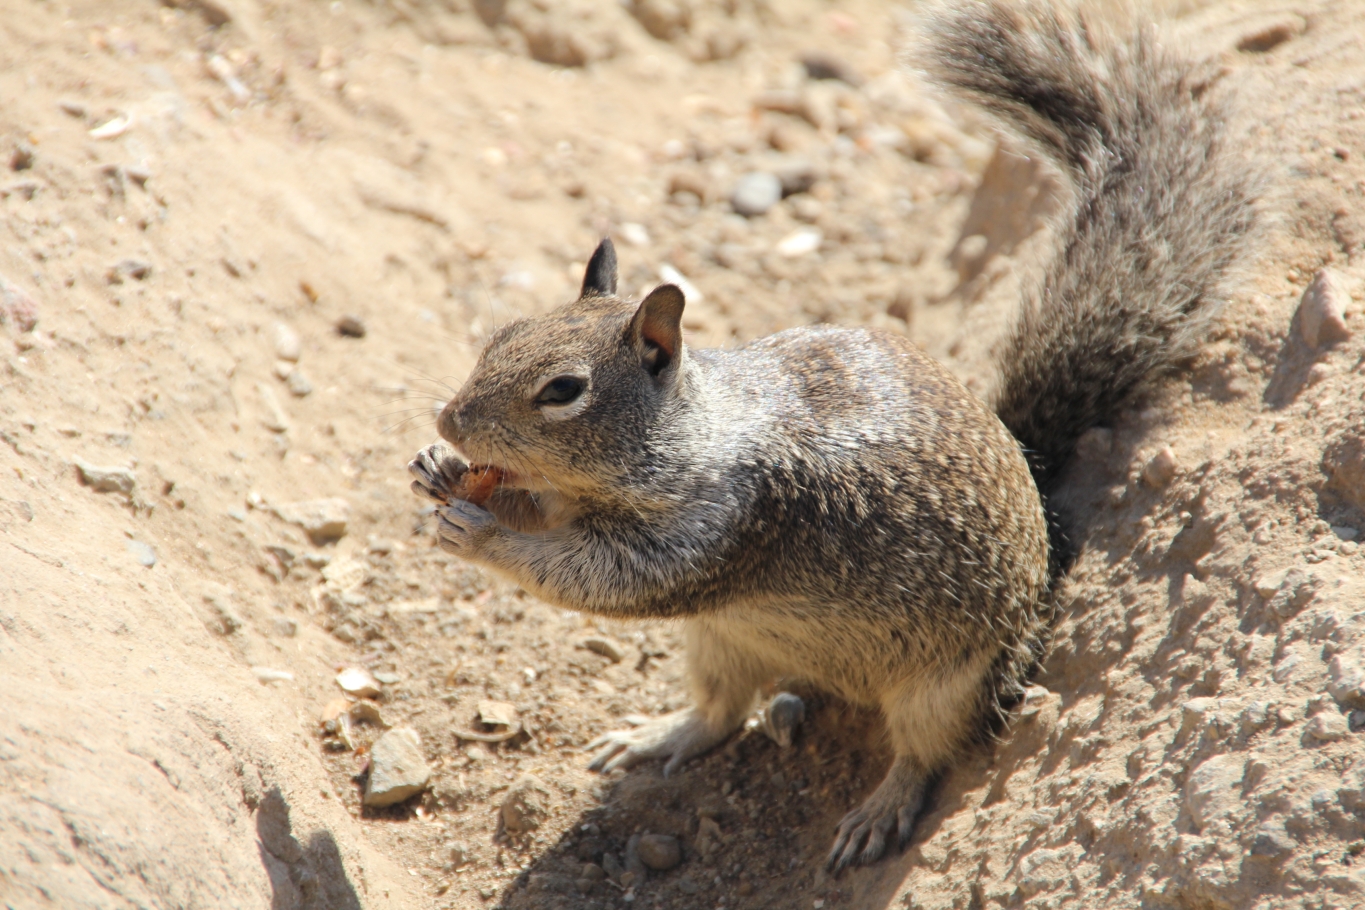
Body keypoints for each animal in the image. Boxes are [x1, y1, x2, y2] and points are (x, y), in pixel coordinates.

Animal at [404, 0, 1255, 873]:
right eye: (504, 332)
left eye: (563, 391)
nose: (447, 421)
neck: (688, 436)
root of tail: (1038, 494)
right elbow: (550, 520)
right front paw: (439, 470)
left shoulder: (725, 527)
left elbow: (600, 579)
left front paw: (481, 534)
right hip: (722, 642)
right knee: (719, 712)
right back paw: (654, 735)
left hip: (943, 683)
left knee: (923, 752)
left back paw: (877, 810)